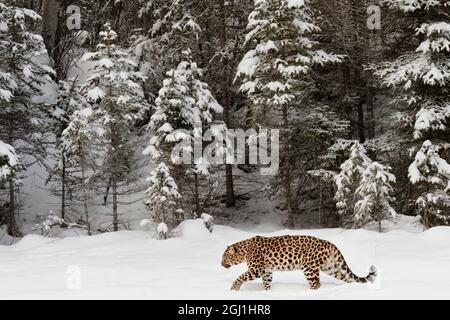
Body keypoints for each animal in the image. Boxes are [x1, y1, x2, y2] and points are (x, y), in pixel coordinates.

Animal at [221, 234, 376, 292]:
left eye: (225, 257)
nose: (221, 264)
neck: (244, 251)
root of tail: (330, 243)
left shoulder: (256, 270)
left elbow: (240, 277)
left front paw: (233, 288)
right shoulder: (267, 271)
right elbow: (267, 283)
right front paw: (267, 292)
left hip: (309, 267)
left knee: (316, 284)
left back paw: (308, 293)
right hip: (332, 267)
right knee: (349, 278)